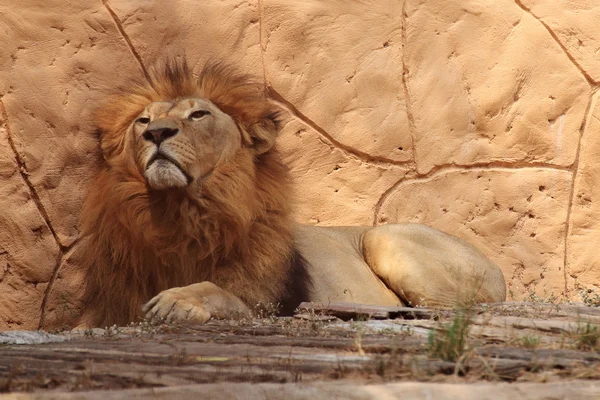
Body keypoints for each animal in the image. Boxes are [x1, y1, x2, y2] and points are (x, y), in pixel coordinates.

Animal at [76, 60, 506, 328]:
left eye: (199, 114)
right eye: (142, 121)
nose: (157, 133)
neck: (180, 211)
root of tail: (498, 269)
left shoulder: (268, 303)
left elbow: (218, 291)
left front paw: (178, 300)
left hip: (384, 238)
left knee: (454, 310)